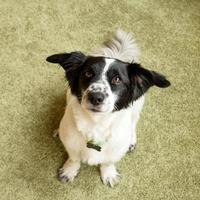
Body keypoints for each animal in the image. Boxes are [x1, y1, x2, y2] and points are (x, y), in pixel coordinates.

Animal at [46, 30, 170, 188]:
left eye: (117, 79)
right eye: (88, 73)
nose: (96, 97)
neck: (96, 123)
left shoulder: (116, 148)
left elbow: (108, 161)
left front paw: (109, 174)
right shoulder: (71, 143)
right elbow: (74, 157)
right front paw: (69, 171)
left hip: (138, 106)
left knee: (134, 123)